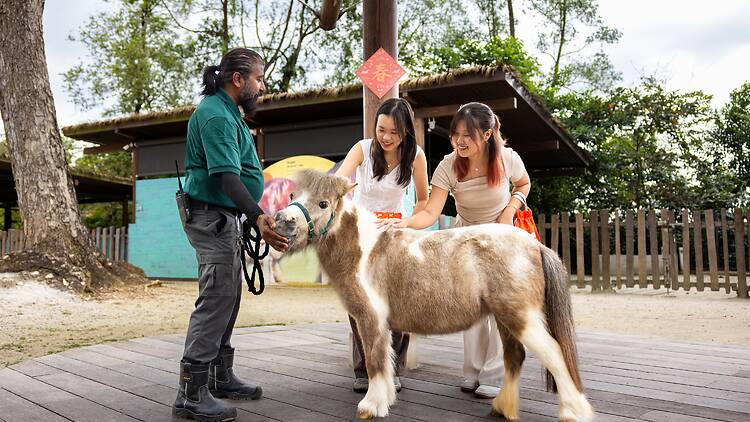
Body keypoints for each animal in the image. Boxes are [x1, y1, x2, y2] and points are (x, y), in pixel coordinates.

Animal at [273, 170, 594, 421]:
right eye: (293, 194)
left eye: (323, 203)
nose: (281, 221)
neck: (366, 251)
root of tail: (535, 246)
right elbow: (385, 362)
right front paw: (384, 399)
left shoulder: (371, 319)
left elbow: (375, 361)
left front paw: (370, 407)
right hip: (506, 319)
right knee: (515, 357)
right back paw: (503, 407)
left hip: (521, 317)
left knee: (554, 354)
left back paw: (573, 411)